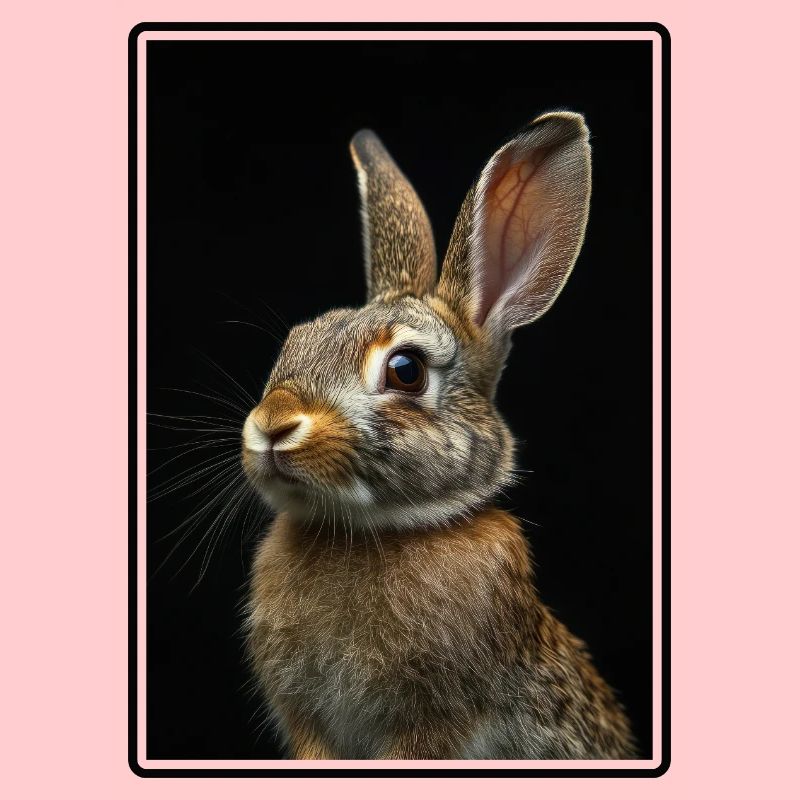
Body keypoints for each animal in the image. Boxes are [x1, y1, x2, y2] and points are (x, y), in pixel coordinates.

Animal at [242, 111, 636, 760]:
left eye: (406, 370)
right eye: (295, 342)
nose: (273, 426)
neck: (371, 529)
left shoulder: (429, 727)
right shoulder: (310, 729)